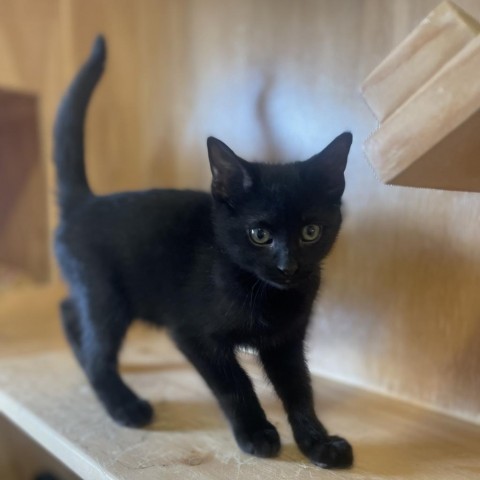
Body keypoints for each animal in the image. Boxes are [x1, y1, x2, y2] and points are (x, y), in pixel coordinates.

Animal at [54, 34, 354, 468]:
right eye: (259, 234)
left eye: (311, 231)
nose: (288, 266)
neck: (262, 290)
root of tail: (84, 204)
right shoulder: (192, 333)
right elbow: (235, 382)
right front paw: (257, 433)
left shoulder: (286, 340)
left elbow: (300, 389)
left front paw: (318, 441)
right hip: (107, 297)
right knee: (97, 349)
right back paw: (124, 405)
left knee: (68, 311)